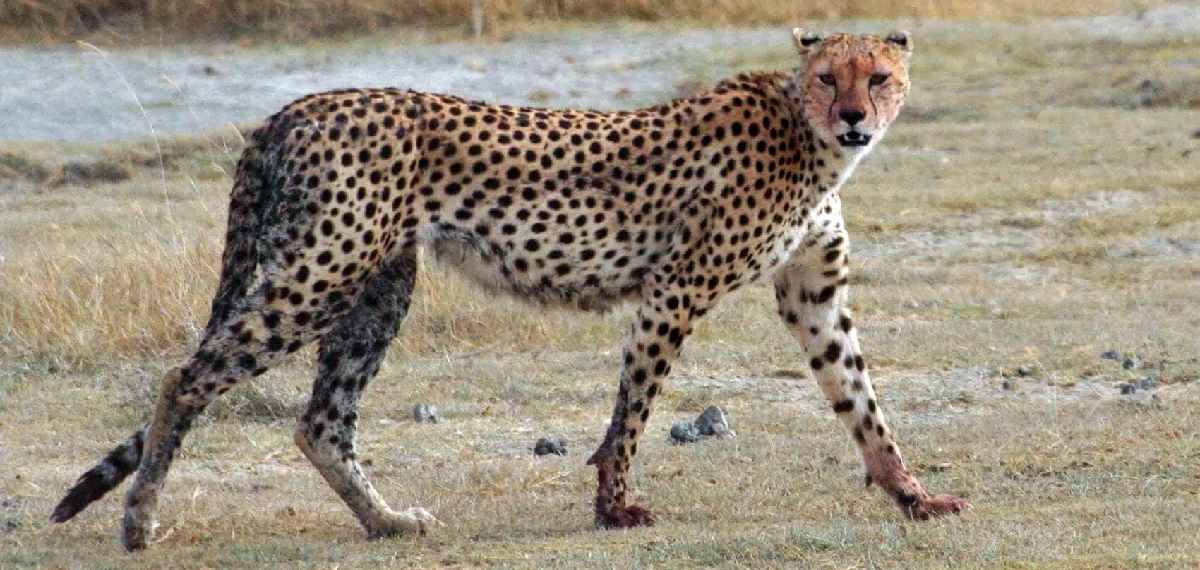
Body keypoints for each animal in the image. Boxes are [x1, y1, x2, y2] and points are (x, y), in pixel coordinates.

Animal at [51, 28, 968, 550]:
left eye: (878, 76)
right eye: (829, 77)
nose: (855, 118)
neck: (808, 139)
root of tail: (294, 107)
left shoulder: (812, 293)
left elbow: (862, 400)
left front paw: (911, 494)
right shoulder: (674, 288)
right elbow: (632, 410)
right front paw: (614, 507)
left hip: (376, 288)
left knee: (321, 422)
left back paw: (386, 523)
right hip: (321, 273)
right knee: (186, 377)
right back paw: (139, 521)